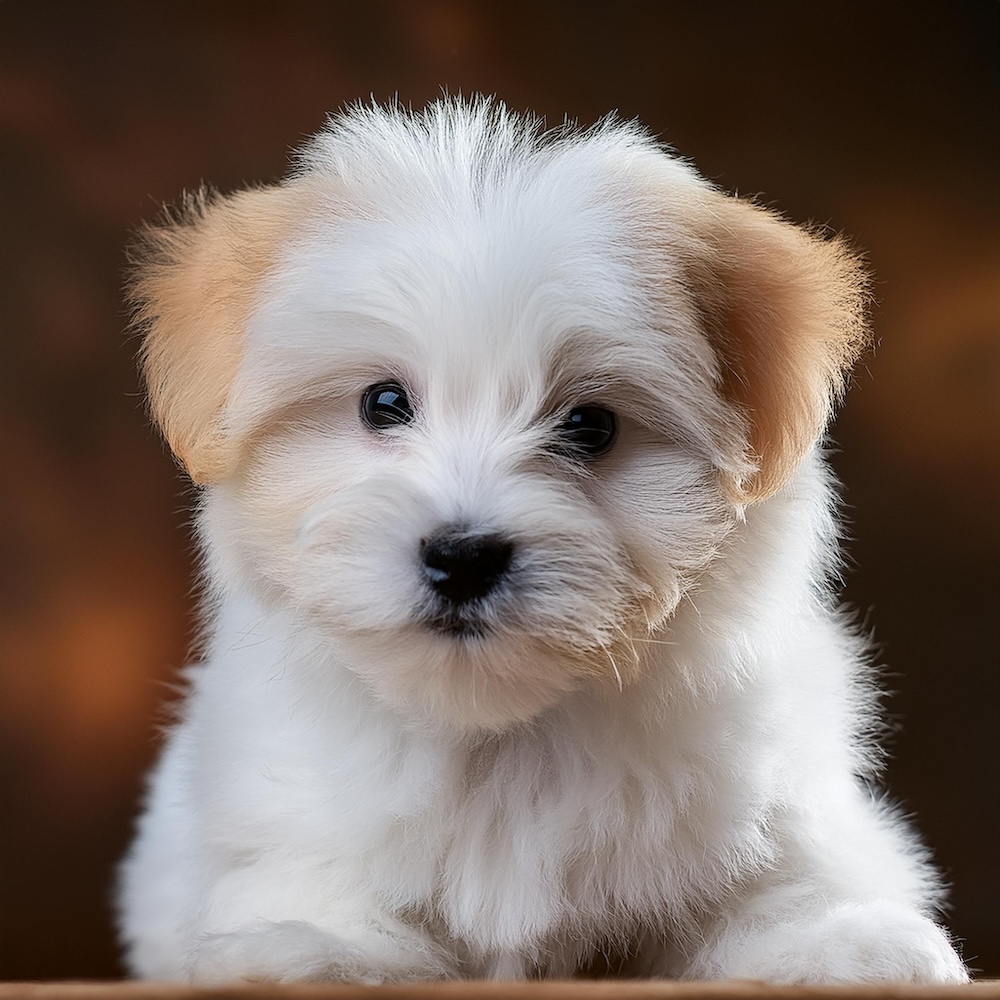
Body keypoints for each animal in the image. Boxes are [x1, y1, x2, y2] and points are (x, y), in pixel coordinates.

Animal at [117, 99, 968, 984]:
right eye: (383, 403)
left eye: (591, 426)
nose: (463, 556)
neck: (503, 735)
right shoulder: (279, 809)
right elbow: (311, 878)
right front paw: (309, 943)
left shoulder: (772, 801)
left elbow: (778, 885)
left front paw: (847, 939)